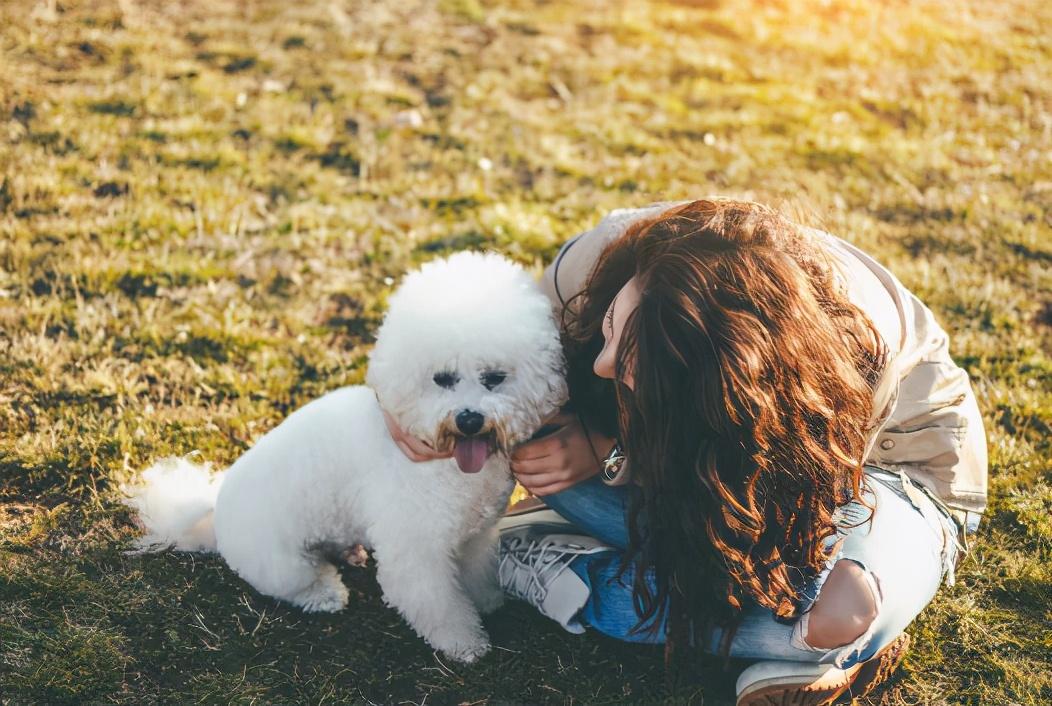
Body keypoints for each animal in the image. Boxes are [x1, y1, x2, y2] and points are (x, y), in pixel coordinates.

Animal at [120, 254, 568, 664]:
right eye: (442, 379)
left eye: (495, 378)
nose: (470, 420)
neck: (447, 464)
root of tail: (213, 513)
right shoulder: (416, 551)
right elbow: (438, 605)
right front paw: (464, 643)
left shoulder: (476, 534)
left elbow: (477, 572)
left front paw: (488, 602)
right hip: (281, 562)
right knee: (296, 583)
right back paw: (326, 593)